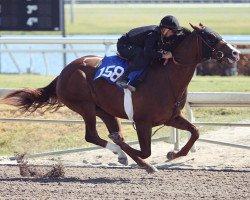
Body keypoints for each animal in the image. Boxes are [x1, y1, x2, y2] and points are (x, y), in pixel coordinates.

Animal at [1, 23, 240, 173]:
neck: (168, 76)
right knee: (92, 136)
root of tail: (64, 71)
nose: (236, 53)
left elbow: (195, 132)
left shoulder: (171, 117)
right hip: (85, 106)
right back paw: (124, 153)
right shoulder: (143, 121)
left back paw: (124, 155)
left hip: (105, 110)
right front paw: (145, 160)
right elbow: (145, 150)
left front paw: (172, 154)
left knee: (105, 132)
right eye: (211, 37)